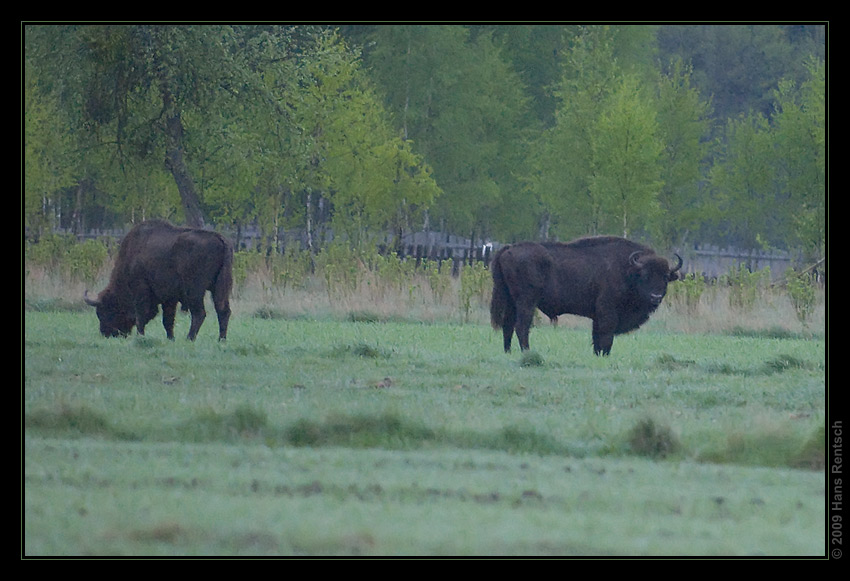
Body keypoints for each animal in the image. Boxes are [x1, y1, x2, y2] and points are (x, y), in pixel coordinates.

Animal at [83, 221, 232, 340]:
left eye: (105, 311)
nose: (106, 333)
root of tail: (220, 238)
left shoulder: (141, 290)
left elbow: (141, 315)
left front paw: (140, 336)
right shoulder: (170, 299)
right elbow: (167, 320)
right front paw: (170, 338)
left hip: (195, 291)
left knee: (199, 314)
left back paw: (189, 338)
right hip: (217, 289)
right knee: (223, 311)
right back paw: (221, 340)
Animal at [486, 234, 680, 354]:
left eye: (665, 277)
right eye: (645, 275)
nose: (656, 297)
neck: (628, 270)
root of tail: (508, 248)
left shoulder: (597, 316)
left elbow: (596, 337)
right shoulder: (607, 312)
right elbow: (605, 336)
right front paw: (604, 354)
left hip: (510, 300)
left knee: (508, 325)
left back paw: (508, 352)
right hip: (526, 301)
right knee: (521, 326)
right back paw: (527, 351)